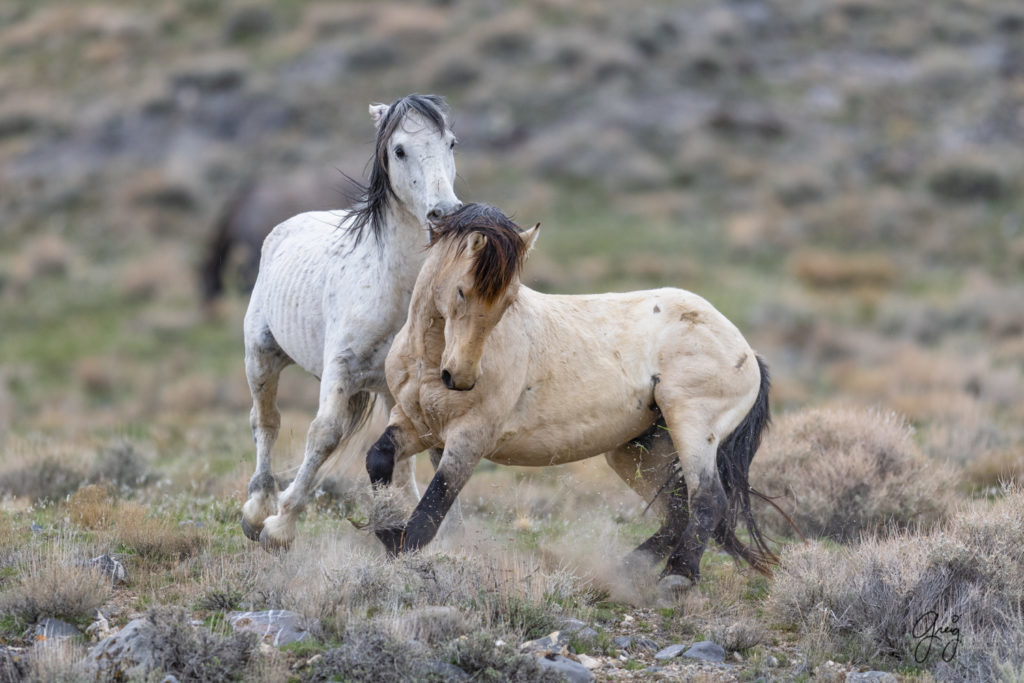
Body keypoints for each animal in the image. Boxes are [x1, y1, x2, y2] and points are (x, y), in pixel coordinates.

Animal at [239, 93, 460, 548]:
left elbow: (422, 452)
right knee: (265, 422)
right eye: (399, 150)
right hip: (261, 356)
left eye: (451, 143)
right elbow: (323, 435)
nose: (444, 213)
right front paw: (281, 525)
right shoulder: (339, 369)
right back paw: (256, 510)